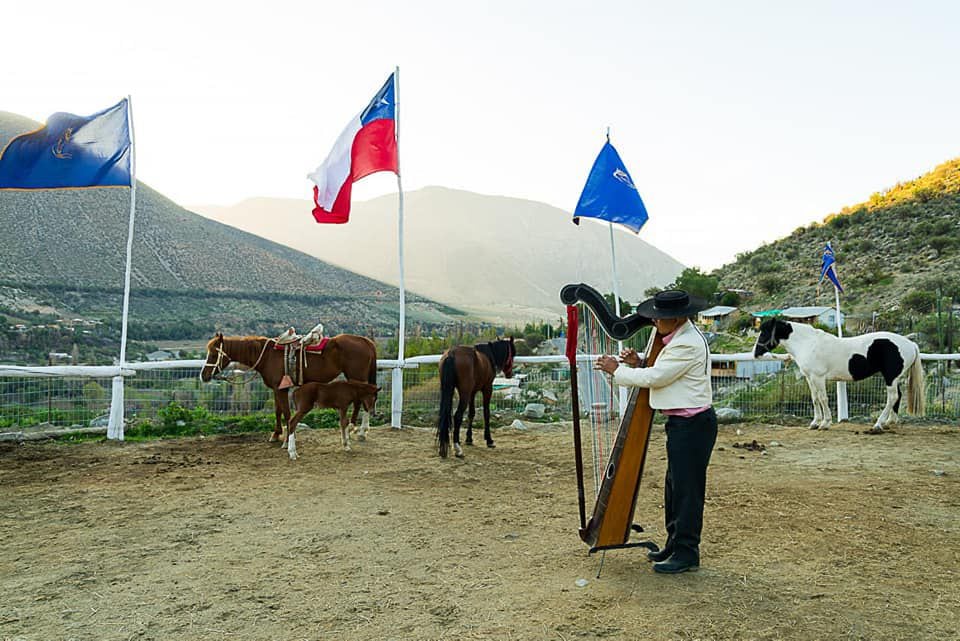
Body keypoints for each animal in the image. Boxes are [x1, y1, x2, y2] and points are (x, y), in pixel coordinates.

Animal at [201, 330, 376, 450]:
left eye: (214, 354)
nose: (203, 376)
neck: (267, 356)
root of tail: (365, 341)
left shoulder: (282, 389)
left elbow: (286, 413)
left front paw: (286, 441)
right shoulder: (277, 388)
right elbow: (278, 411)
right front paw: (276, 434)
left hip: (357, 377)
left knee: (363, 400)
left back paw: (359, 430)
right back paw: (357, 429)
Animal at [752, 318, 928, 432]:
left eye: (765, 332)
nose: (756, 353)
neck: (808, 343)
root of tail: (910, 343)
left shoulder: (818, 377)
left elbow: (823, 399)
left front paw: (825, 424)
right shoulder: (810, 378)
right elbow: (815, 399)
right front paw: (814, 423)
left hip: (890, 377)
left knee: (892, 397)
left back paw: (878, 425)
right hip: (894, 378)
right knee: (897, 396)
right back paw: (888, 422)